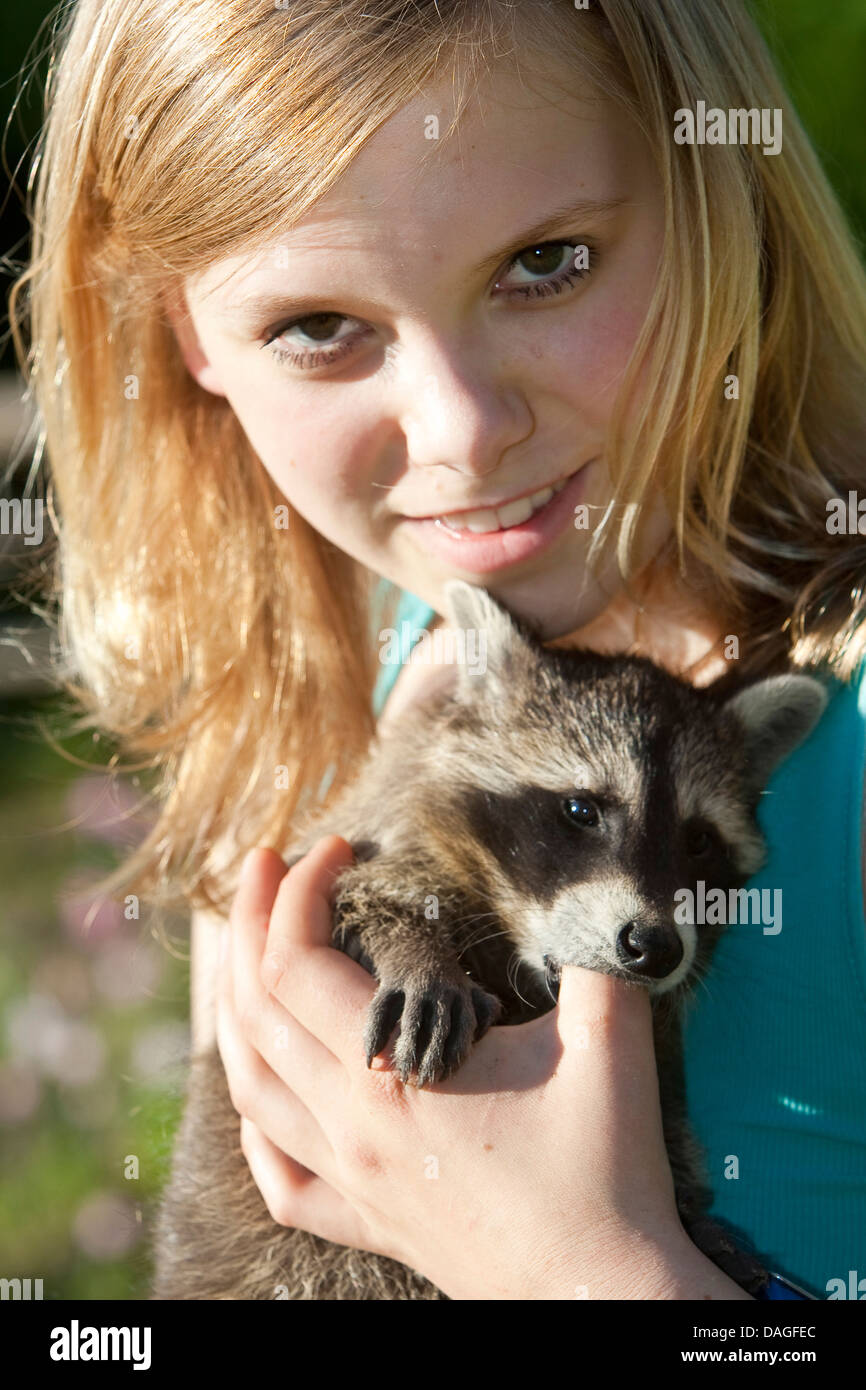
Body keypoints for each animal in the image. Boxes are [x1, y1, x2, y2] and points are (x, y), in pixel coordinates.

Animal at [152, 581, 828, 1295]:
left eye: (699, 841)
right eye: (581, 810)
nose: (657, 948)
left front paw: (696, 1226)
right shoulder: (370, 833)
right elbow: (357, 895)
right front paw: (415, 951)